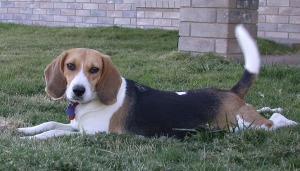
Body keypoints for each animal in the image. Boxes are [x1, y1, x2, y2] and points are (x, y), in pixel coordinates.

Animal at [17, 25, 296, 140]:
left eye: (94, 69)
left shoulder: (95, 134)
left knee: (273, 122)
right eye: (70, 66)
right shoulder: (76, 127)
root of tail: (228, 92)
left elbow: (54, 132)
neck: (89, 105)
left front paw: (29, 140)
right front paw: (24, 130)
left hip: (243, 126)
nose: (77, 90)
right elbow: (50, 123)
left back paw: (289, 122)